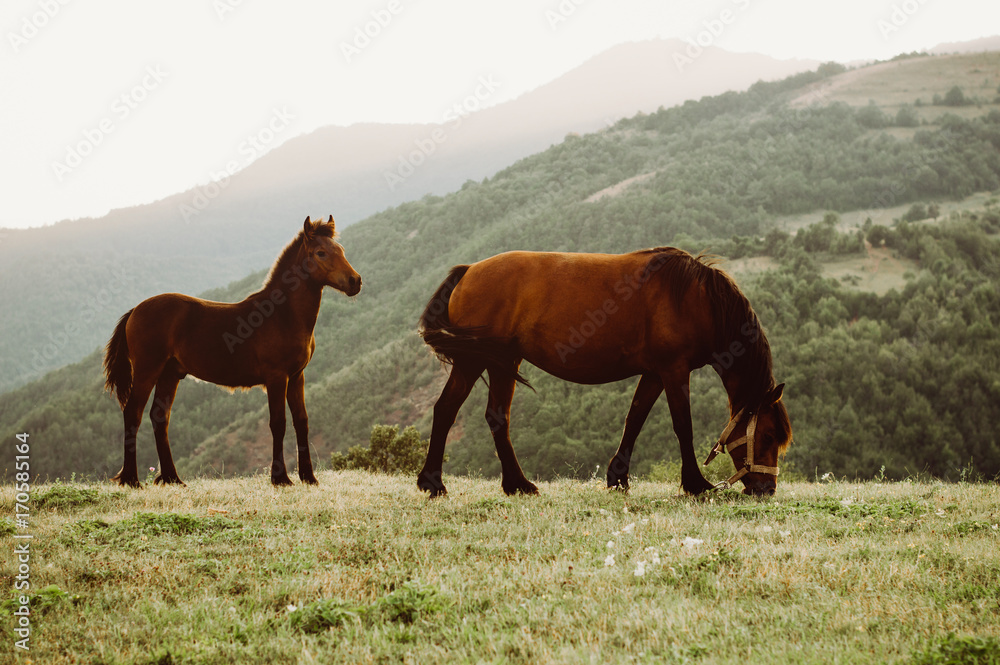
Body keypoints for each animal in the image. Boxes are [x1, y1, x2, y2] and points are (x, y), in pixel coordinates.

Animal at [418, 246, 792, 496]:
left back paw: (514, 485)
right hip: (475, 361)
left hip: (501, 362)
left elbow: (635, 419)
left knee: (493, 417)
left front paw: (618, 477)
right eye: (768, 436)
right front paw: (696, 484)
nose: (766, 489)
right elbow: (682, 426)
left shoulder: (654, 373)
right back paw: (435, 483)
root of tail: (468, 270)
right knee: (449, 410)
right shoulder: (674, 370)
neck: (694, 299)